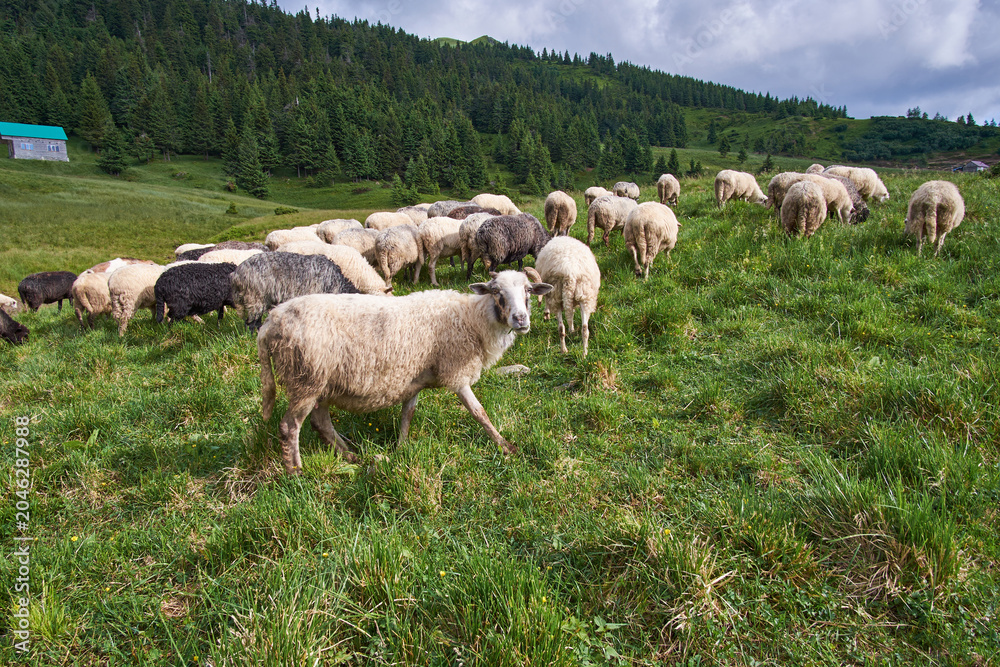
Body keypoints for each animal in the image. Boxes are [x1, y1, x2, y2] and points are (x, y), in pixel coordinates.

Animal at [257, 270, 553, 473]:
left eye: (528, 291)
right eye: (497, 292)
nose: (521, 319)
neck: (472, 319)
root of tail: (271, 322)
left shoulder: (414, 380)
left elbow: (407, 415)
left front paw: (401, 448)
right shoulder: (456, 373)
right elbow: (480, 413)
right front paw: (506, 446)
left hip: (320, 383)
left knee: (321, 423)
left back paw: (351, 456)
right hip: (305, 379)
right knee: (289, 427)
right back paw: (296, 472)